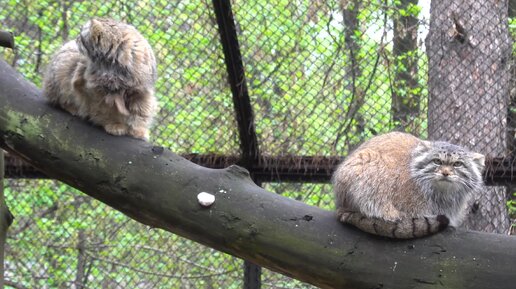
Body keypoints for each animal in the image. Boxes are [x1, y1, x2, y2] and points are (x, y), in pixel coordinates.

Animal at [332, 132, 486, 237]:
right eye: (437, 161)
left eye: (457, 164)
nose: (445, 173)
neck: (441, 194)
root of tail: (340, 203)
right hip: (368, 161)